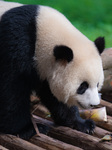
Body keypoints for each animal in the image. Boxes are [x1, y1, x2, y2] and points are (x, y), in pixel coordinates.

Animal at [0, 1, 105, 139]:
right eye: (82, 86)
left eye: (97, 84)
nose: (94, 104)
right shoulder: (14, 45)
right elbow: (11, 89)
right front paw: (28, 129)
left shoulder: (43, 71)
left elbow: (54, 96)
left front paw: (83, 124)